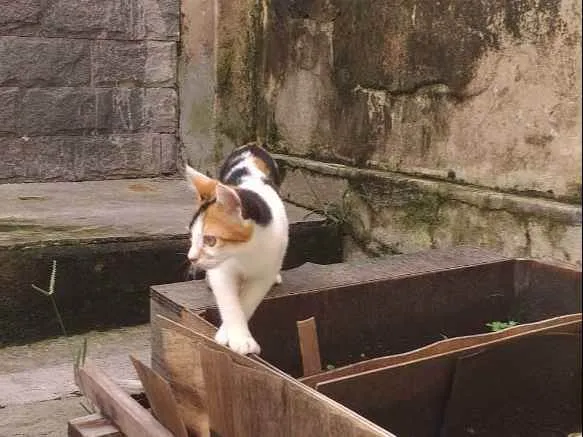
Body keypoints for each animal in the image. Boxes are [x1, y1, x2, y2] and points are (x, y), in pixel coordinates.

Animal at [186, 143, 288, 354]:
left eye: (210, 240)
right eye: (191, 237)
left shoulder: (267, 266)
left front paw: (238, 337)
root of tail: (252, 145)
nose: (191, 258)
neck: (246, 251)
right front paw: (236, 335)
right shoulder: (222, 270)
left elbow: (249, 298)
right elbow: (228, 299)